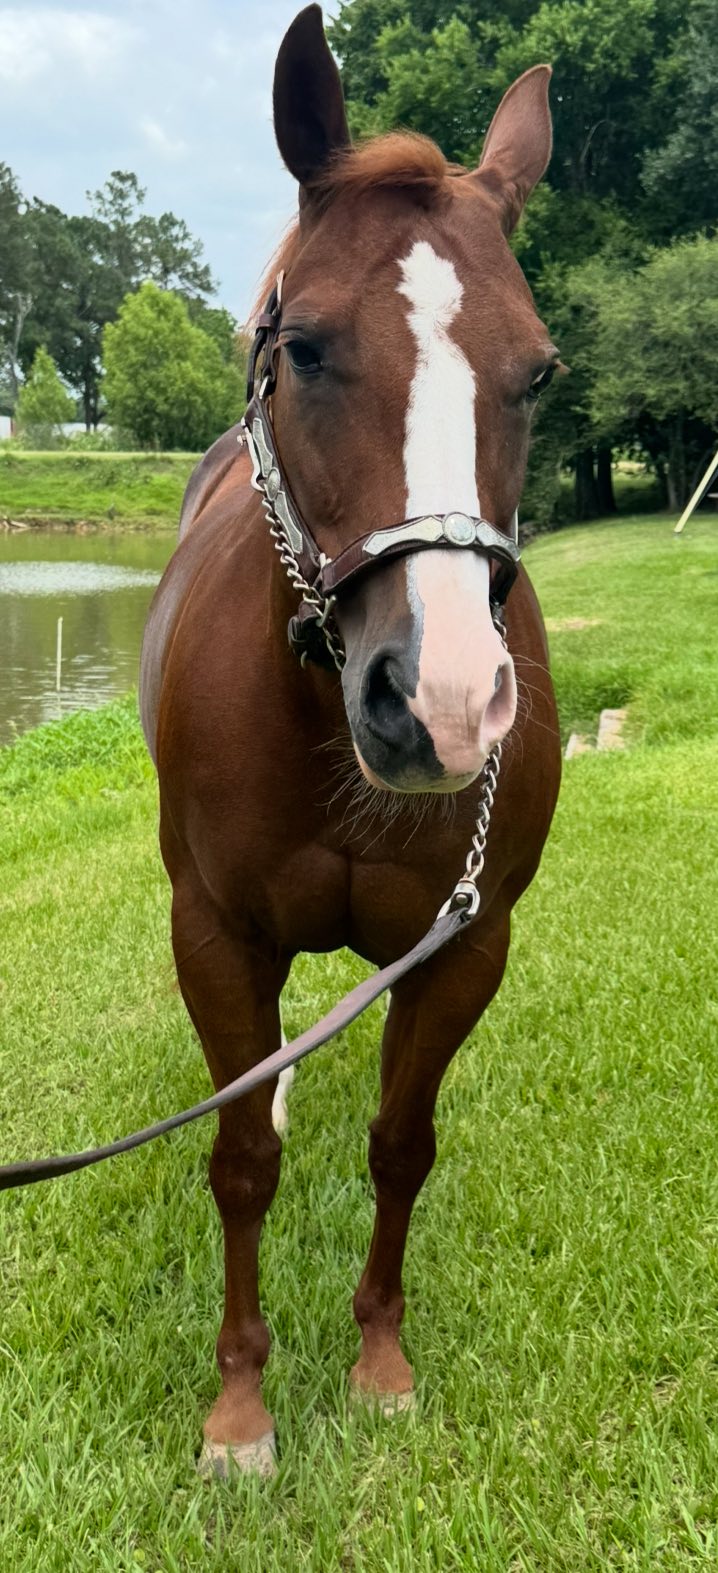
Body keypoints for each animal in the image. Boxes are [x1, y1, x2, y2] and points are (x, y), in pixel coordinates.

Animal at [139, 2, 561, 1478]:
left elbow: (399, 1142)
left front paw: (377, 1361)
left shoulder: (465, 946)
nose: (436, 701)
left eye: (536, 370)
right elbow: (239, 1167)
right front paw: (239, 1408)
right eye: (308, 347)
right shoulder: (214, 932)